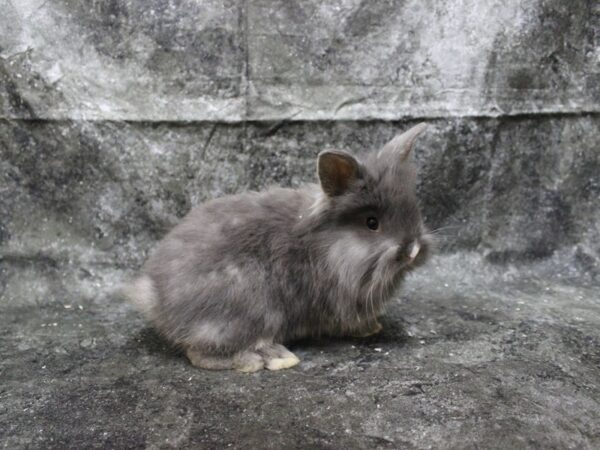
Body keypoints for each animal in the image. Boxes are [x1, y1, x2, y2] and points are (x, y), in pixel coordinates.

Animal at [124, 123, 432, 372]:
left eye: (415, 211)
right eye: (371, 223)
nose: (413, 250)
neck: (325, 247)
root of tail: (155, 295)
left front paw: (374, 326)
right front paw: (369, 328)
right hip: (248, 305)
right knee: (202, 353)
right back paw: (268, 358)